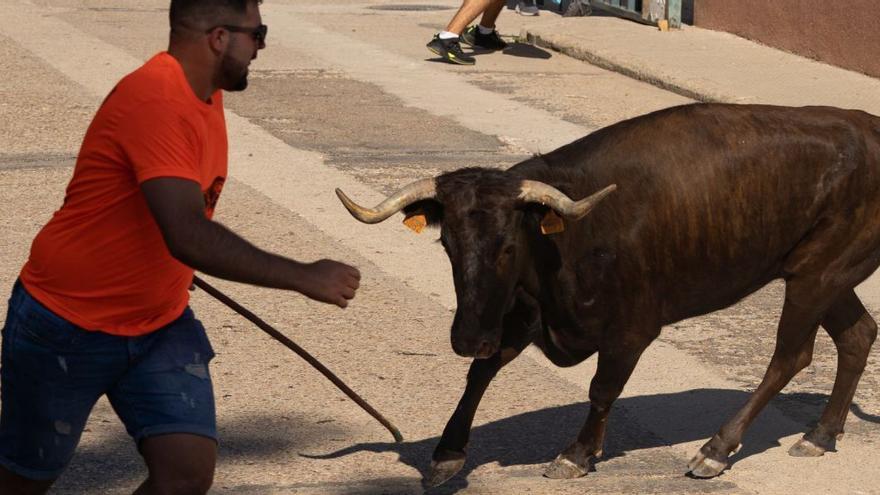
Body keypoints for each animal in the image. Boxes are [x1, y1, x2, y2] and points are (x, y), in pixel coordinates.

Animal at [336, 102, 880, 486]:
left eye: (509, 246)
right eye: (447, 243)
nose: (468, 337)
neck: (566, 241)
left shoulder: (631, 331)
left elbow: (602, 388)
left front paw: (576, 455)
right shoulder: (520, 316)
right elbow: (481, 373)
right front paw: (448, 455)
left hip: (815, 276)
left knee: (791, 355)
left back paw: (716, 450)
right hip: (829, 275)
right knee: (857, 335)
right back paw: (820, 435)